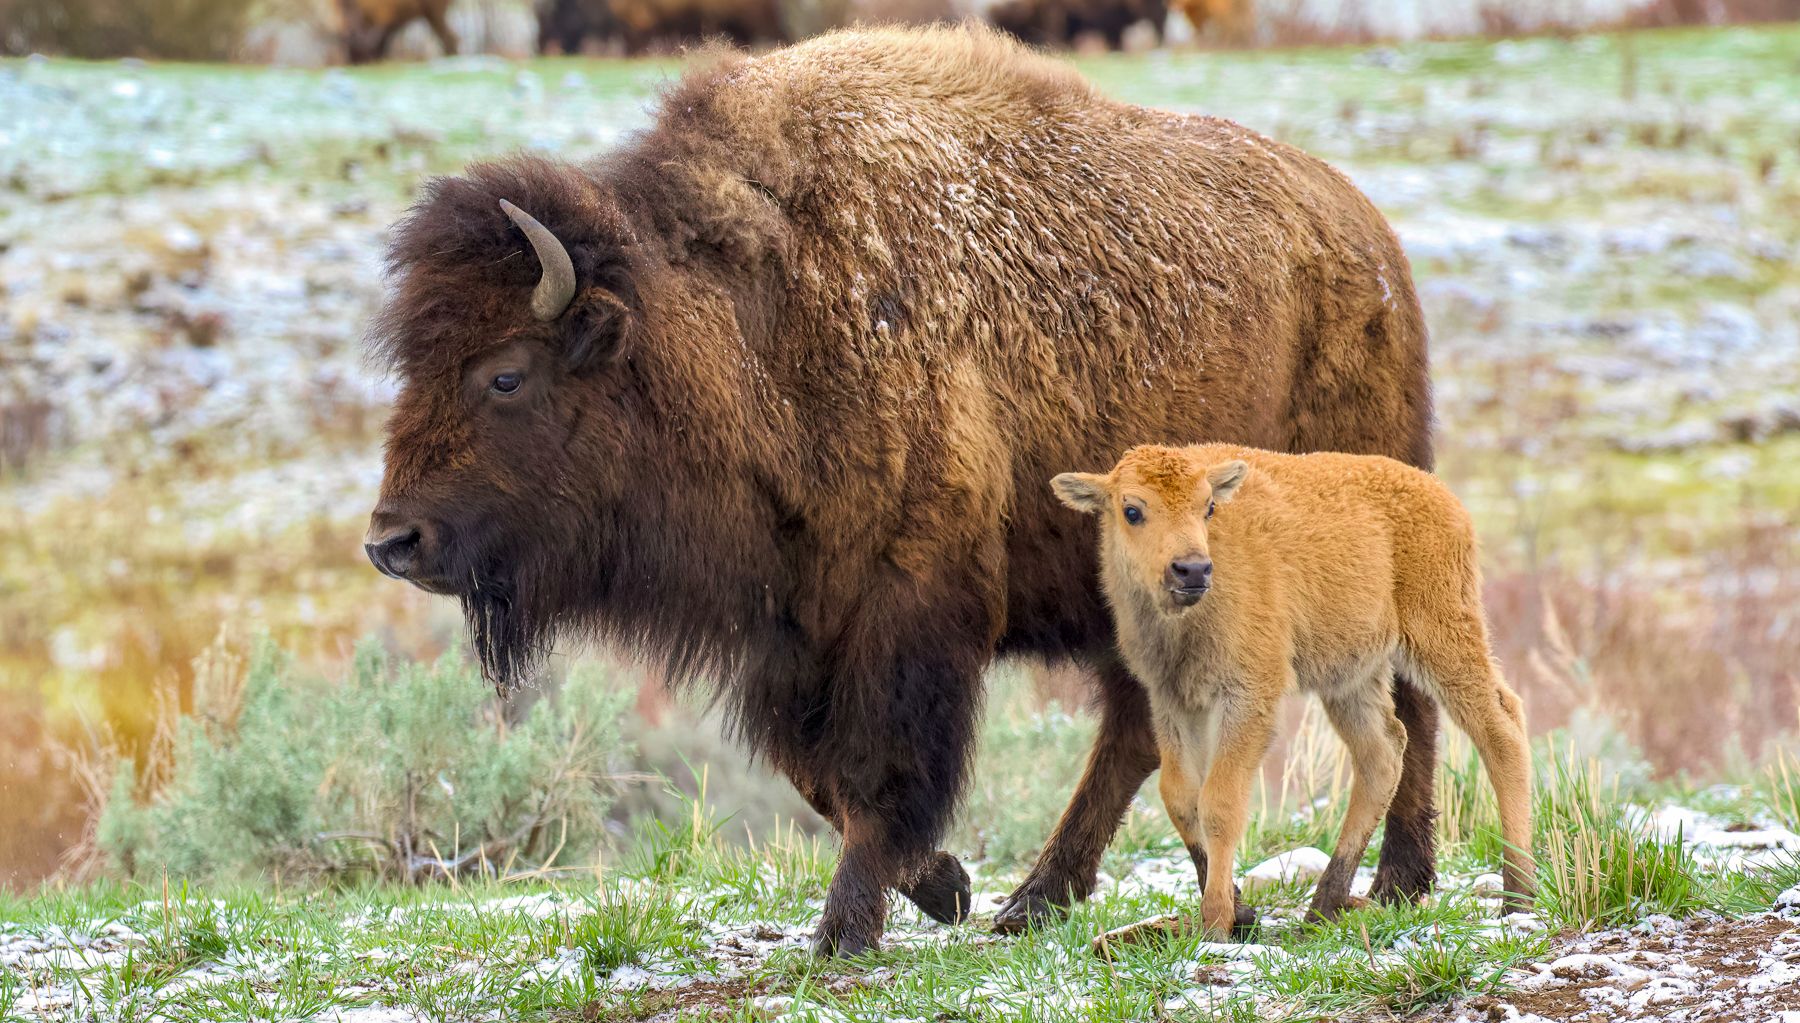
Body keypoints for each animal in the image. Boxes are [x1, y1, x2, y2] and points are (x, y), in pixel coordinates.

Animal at [363, 24, 1441, 956]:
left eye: (506, 374)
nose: (391, 541)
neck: (748, 324)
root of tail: (1369, 243)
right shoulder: (795, 622)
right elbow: (816, 771)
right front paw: (946, 884)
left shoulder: (906, 605)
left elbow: (880, 768)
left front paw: (846, 928)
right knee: (1143, 728)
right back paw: (1047, 898)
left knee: (1402, 700)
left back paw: (1398, 880)